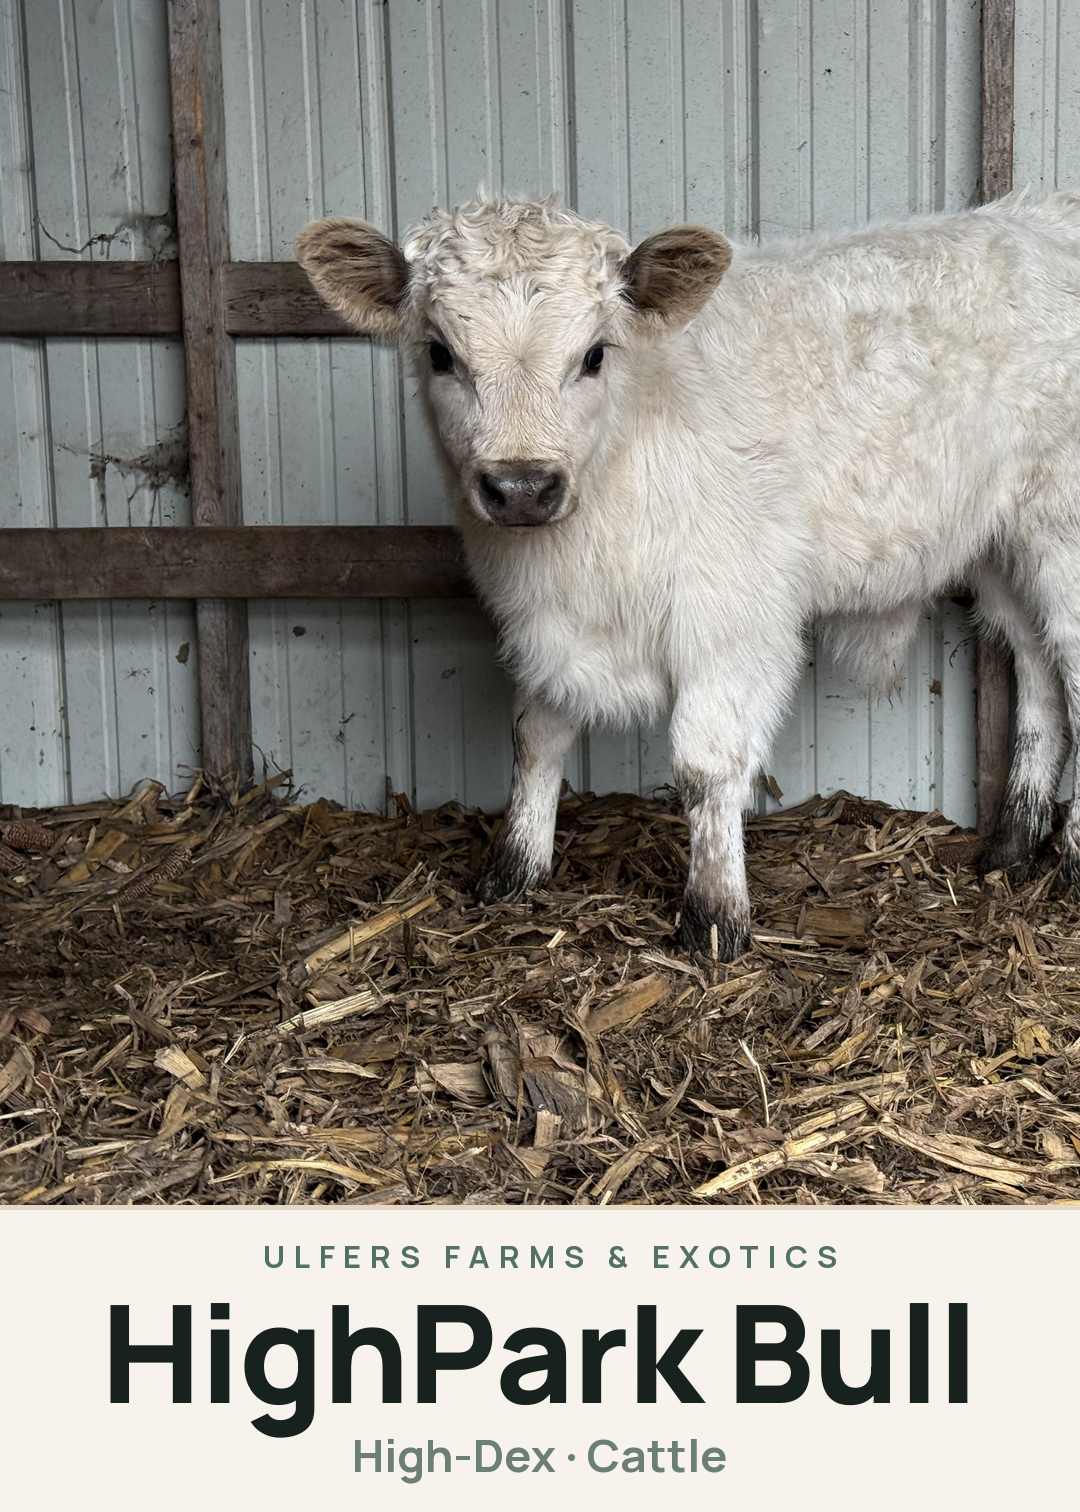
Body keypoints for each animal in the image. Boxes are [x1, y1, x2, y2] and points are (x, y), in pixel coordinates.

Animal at [296, 188, 1080, 960]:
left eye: (594, 354)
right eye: (440, 354)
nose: (522, 487)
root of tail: (1042, 209)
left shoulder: (731, 621)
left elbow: (706, 768)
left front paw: (714, 917)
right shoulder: (548, 627)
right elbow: (533, 735)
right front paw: (514, 874)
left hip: (1062, 532)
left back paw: (1067, 855)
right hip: (1002, 548)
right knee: (1039, 670)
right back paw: (1011, 844)